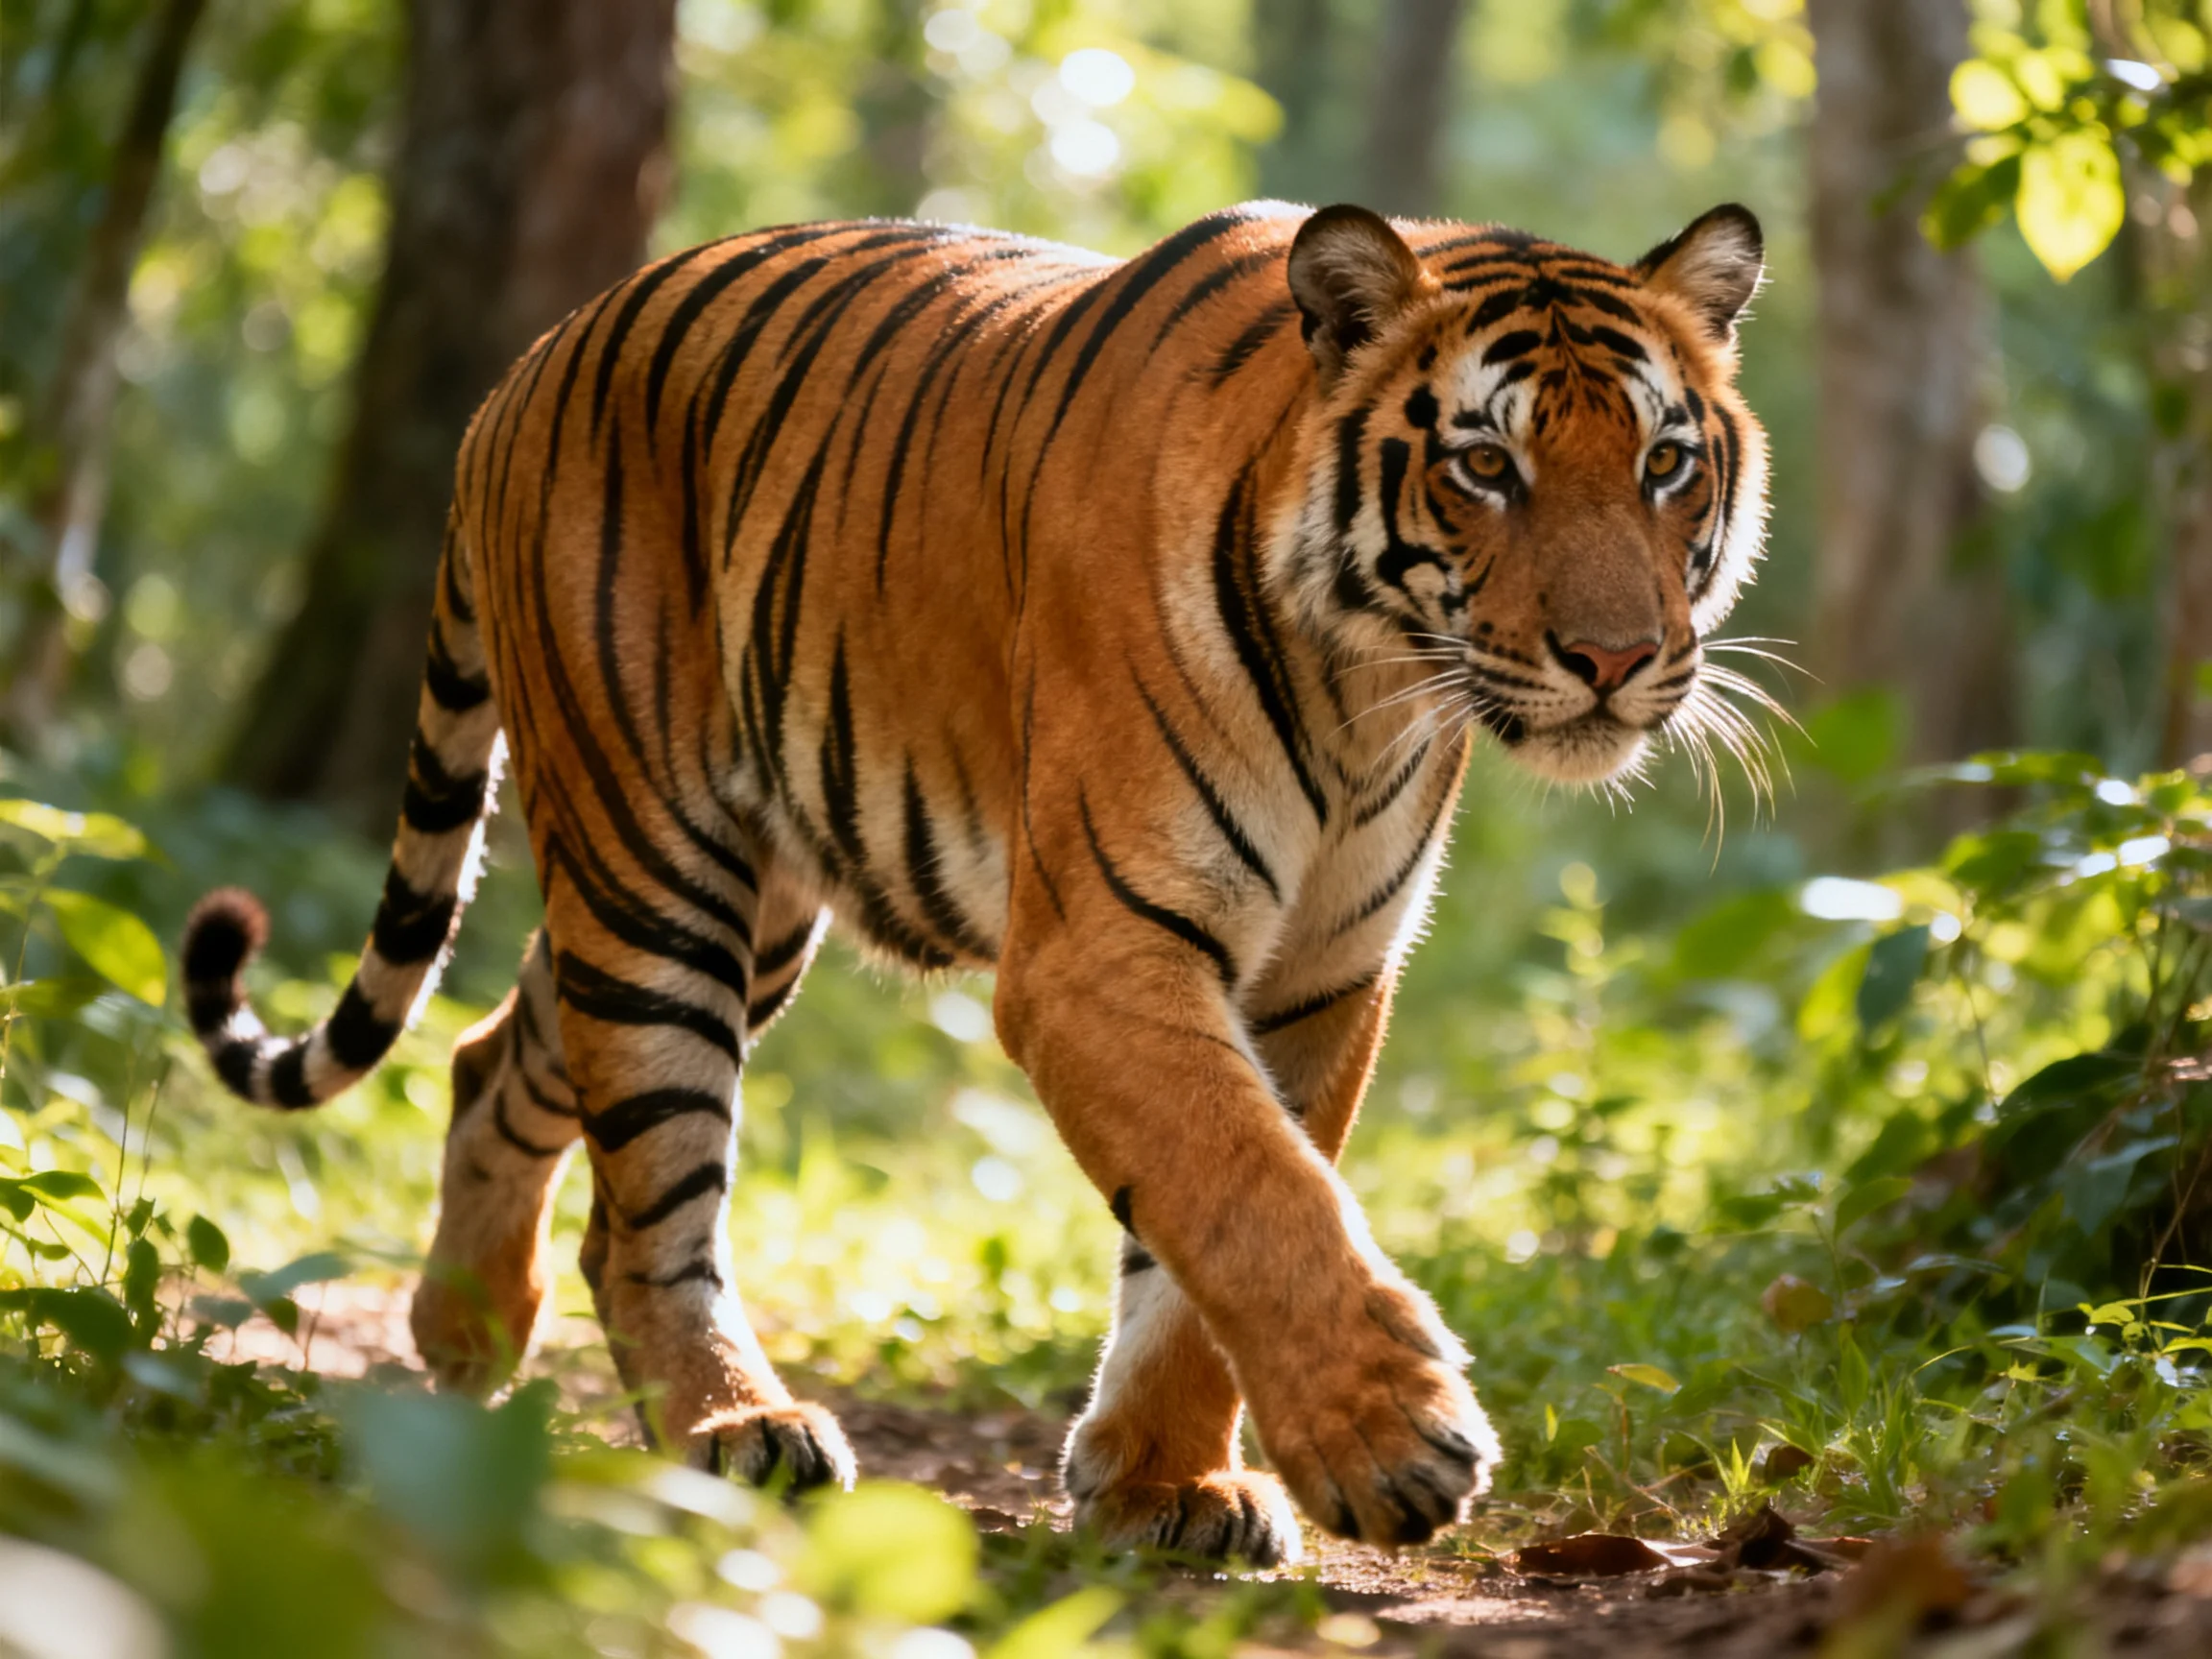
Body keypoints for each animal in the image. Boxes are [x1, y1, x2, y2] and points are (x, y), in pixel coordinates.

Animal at [182, 198, 1769, 1565]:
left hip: (749, 900)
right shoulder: (1103, 951)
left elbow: (1208, 1236)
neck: (1368, 680)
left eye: (1664, 463)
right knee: (651, 1204)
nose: (1617, 658)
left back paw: (463, 1339)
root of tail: (522, 374)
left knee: (496, 1053)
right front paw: (1392, 1446)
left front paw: (1164, 1485)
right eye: (1485, 465)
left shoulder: (1320, 972)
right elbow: (1249, 1191)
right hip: (656, 864)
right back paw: (730, 1425)